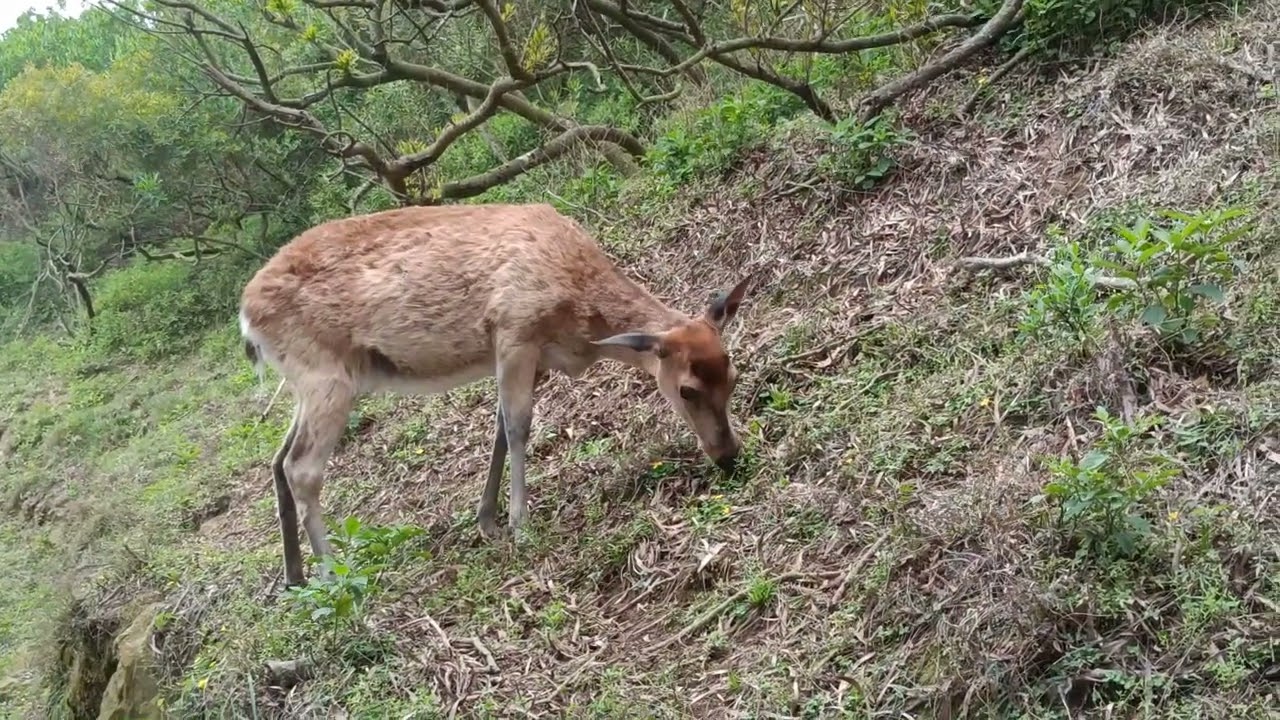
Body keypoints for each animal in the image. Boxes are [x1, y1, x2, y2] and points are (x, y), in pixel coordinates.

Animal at [239, 203, 753, 588]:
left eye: (734, 373)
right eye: (686, 389)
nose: (728, 455)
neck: (578, 320)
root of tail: (246, 318)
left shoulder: (534, 356)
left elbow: (500, 433)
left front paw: (486, 521)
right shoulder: (514, 332)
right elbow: (518, 427)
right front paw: (520, 524)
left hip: (305, 383)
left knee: (277, 458)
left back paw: (294, 576)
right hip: (325, 375)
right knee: (302, 466)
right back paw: (334, 577)